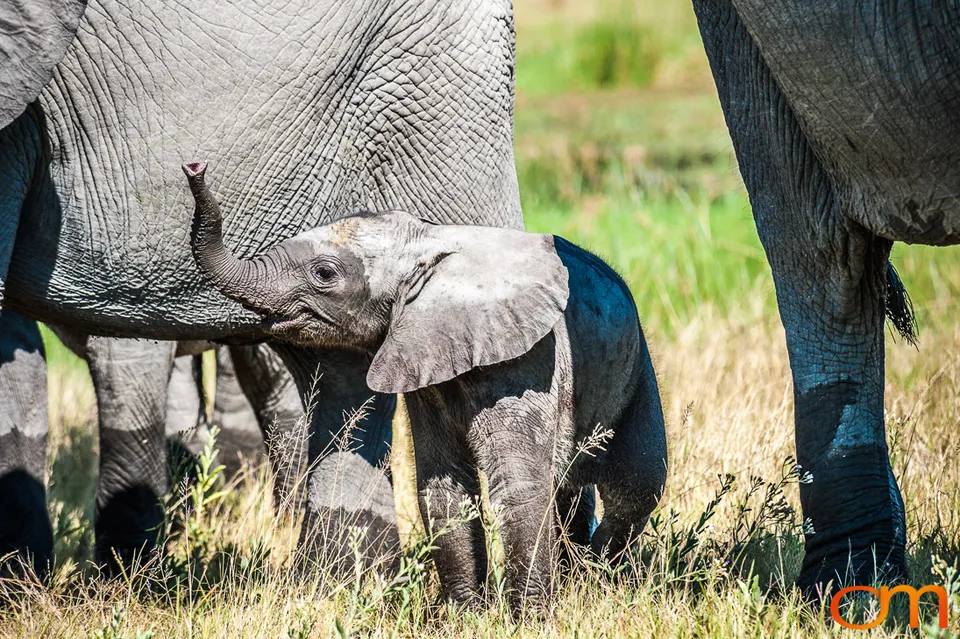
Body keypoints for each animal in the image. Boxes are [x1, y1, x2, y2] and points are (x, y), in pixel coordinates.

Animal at [0, 0, 523, 578]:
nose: (195, 166)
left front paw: (120, 578)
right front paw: (23, 575)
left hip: (436, 92)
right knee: (335, 368)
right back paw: (332, 582)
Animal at [183, 163, 669, 606]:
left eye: (324, 273)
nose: (194, 168)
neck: (429, 245)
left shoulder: (529, 361)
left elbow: (521, 489)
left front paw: (528, 619)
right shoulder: (425, 367)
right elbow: (443, 489)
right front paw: (464, 616)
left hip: (638, 368)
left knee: (638, 484)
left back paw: (597, 574)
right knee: (576, 488)